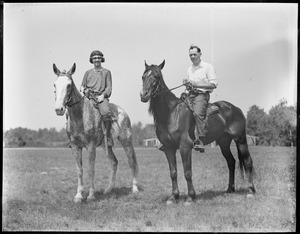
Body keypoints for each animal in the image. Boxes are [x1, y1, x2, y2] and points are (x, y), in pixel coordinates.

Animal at [52, 63, 139, 203]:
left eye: (69, 84)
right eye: (55, 84)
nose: (58, 109)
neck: (80, 115)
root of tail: (123, 111)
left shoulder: (91, 146)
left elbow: (91, 170)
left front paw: (91, 195)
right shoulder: (75, 147)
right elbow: (79, 170)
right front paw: (78, 195)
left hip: (126, 141)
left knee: (131, 162)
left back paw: (135, 188)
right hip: (106, 145)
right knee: (114, 162)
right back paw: (108, 189)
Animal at [141, 60, 255, 205]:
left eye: (156, 77)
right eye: (143, 76)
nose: (143, 95)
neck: (170, 113)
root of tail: (236, 109)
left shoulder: (185, 147)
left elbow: (187, 172)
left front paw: (190, 197)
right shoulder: (168, 149)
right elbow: (173, 172)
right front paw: (174, 197)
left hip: (240, 140)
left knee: (248, 161)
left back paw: (251, 190)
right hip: (224, 143)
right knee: (231, 162)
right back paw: (230, 189)